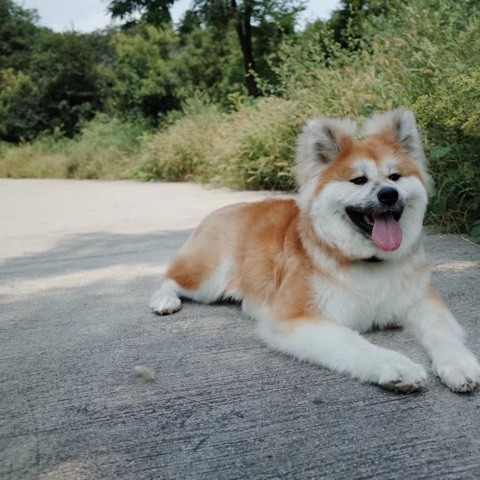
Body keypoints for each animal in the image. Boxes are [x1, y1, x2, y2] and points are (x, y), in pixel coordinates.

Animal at [150, 109, 480, 393]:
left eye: (395, 177)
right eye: (359, 180)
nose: (389, 194)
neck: (369, 262)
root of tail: (224, 209)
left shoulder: (423, 303)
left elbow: (441, 332)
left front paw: (460, 363)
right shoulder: (298, 318)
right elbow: (352, 342)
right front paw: (397, 366)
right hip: (208, 278)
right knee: (169, 278)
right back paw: (165, 301)